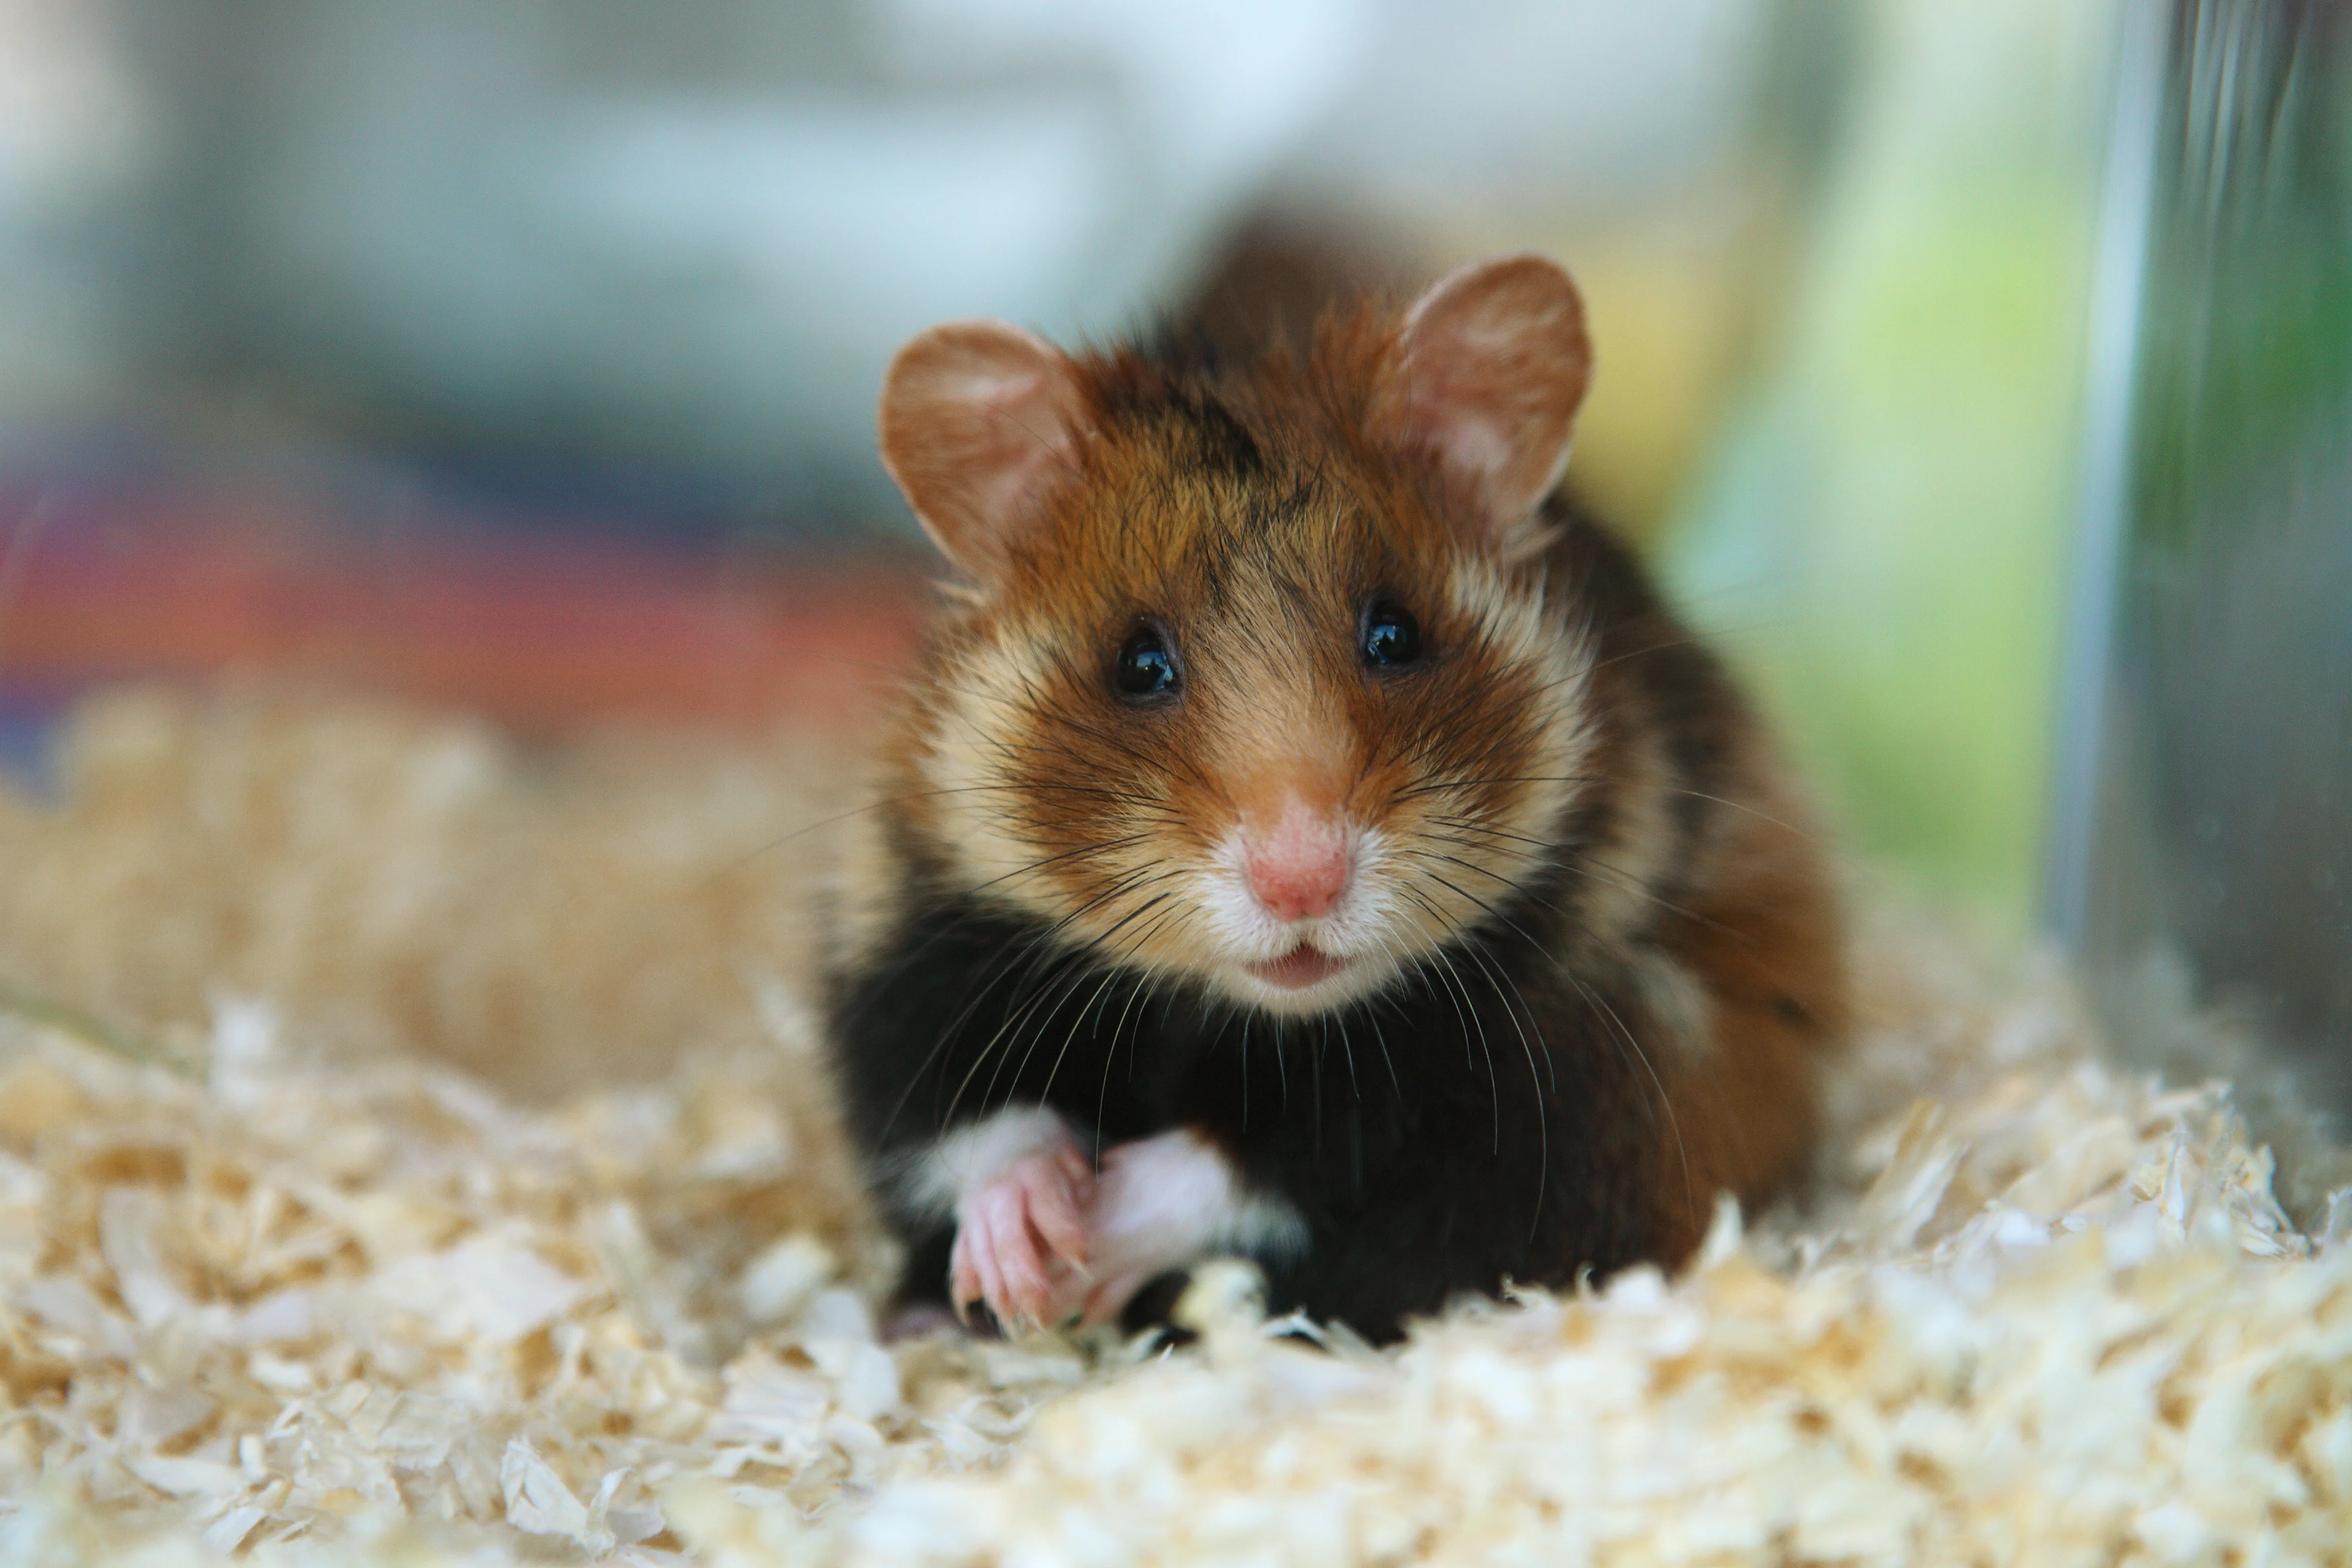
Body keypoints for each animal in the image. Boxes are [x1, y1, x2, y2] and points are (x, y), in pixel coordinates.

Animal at [822, 253, 1846, 1344]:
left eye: (1395, 634)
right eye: (1137, 664)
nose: (1301, 884)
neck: (1251, 1011)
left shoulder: (1510, 1090)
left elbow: (1274, 1161)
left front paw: (1087, 1259)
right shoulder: (905, 945)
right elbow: (966, 1119)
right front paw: (1022, 1264)